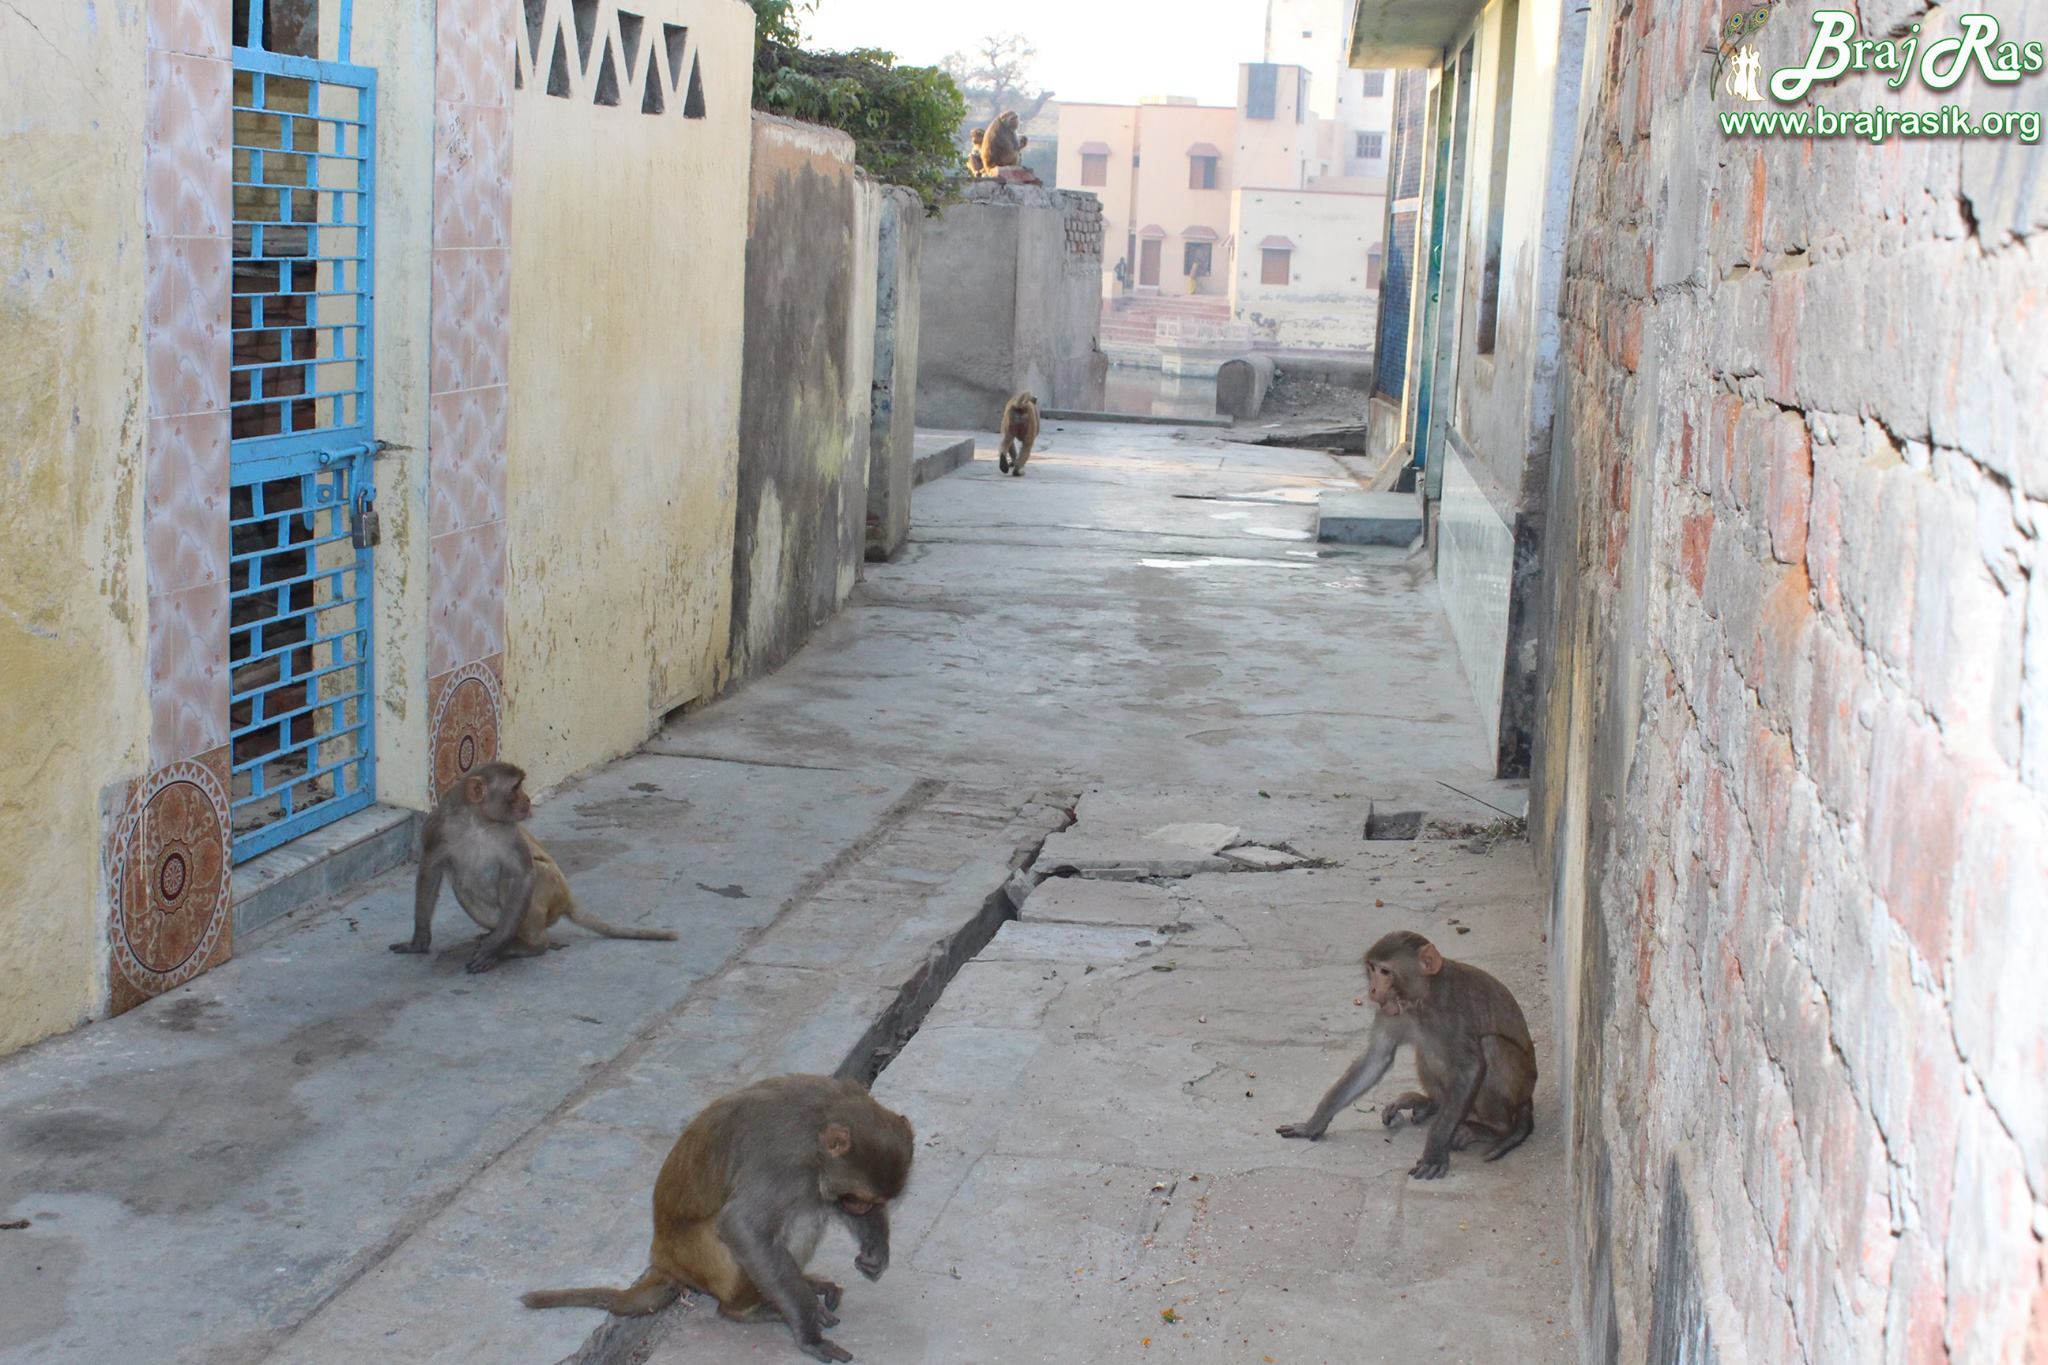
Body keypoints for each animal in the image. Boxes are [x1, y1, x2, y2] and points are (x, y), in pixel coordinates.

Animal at [390, 761, 676, 975]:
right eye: (515, 788)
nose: (527, 799)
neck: (477, 821)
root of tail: (567, 899)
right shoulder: (437, 828)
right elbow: (430, 870)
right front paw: (419, 941)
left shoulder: (509, 832)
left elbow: (524, 874)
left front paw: (496, 946)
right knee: (463, 886)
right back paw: (496, 934)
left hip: (552, 896)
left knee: (528, 877)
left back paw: (528, 944)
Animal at [523, 1074, 914, 1363]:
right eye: (857, 1199)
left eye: (869, 1202)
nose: (861, 1211)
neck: (823, 1120)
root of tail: (664, 1260)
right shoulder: (786, 1166)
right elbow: (743, 1227)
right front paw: (807, 1332)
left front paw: (876, 1249)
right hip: (700, 1259)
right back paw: (744, 1310)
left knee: (806, 1215)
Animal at [1276, 930, 1535, 1179]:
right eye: (1371, 969)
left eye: (1385, 971)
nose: (1372, 989)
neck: (1419, 999)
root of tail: (1527, 1097)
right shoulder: (1389, 1011)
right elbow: (1375, 1059)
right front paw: (1312, 1124)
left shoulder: (1450, 1014)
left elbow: (1471, 1067)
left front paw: (1434, 1152)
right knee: (1426, 1049)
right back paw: (1431, 1103)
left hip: (1518, 1086)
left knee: (1491, 1045)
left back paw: (1493, 1128)